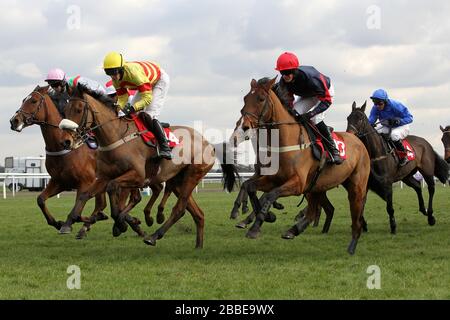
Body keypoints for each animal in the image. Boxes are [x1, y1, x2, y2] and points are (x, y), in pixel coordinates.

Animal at [9, 85, 110, 238]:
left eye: (33, 101)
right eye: (23, 100)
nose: (14, 121)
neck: (62, 147)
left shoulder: (85, 182)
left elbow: (78, 208)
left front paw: (67, 224)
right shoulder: (60, 182)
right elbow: (40, 200)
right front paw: (58, 223)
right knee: (101, 204)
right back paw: (87, 226)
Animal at [59, 84, 239, 249]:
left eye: (78, 109)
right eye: (65, 109)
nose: (67, 141)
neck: (116, 137)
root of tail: (210, 144)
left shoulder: (137, 176)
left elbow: (114, 190)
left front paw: (122, 222)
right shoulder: (104, 176)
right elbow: (85, 195)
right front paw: (68, 222)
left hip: (193, 175)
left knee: (179, 209)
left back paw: (153, 236)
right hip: (179, 181)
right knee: (198, 213)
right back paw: (198, 246)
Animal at [232, 76, 370, 254]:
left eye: (261, 99)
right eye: (245, 98)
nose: (243, 126)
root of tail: (358, 140)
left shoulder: (297, 184)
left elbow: (270, 195)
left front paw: (256, 226)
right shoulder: (272, 178)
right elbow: (250, 186)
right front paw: (264, 216)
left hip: (356, 186)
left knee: (355, 214)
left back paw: (352, 244)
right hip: (317, 186)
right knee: (314, 211)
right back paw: (293, 230)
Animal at [346, 101, 448, 231]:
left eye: (360, 119)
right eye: (348, 118)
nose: (349, 134)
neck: (377, 153)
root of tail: (426, 143)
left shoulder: (388, 183)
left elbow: (389, 207)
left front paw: (393, 226)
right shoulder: (367, 183)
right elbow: (361, 204)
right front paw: (362, 225)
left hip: (427, 171)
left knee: (431, 188)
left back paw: (430, 216)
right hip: (406, 175)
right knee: (417, 186)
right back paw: (423, 210)